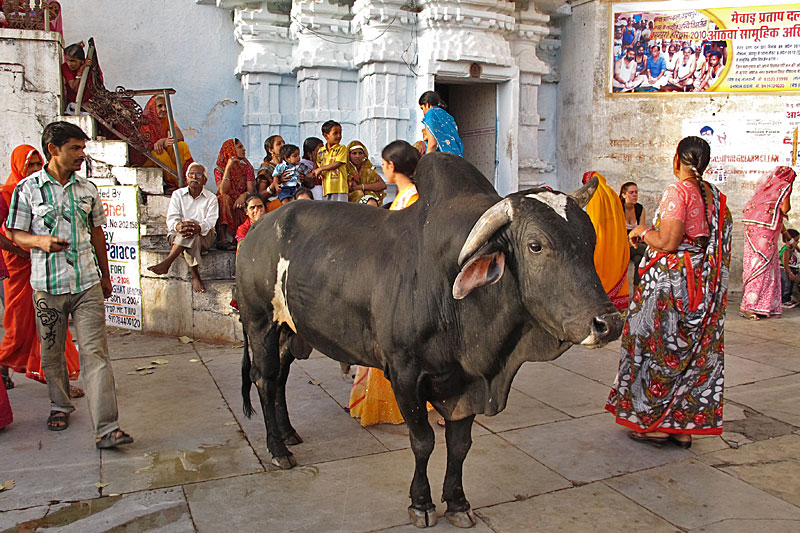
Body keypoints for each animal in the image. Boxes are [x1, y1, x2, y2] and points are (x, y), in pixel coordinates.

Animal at [234, 152, 620, 524]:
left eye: (591, 240)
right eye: (535, 245)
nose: (609, 323)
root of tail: (258, 230)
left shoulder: (465, 382)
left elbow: (460, 445)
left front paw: (458, 502)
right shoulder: (406, 374)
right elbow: (423, 442)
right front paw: (421, 503)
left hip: (288, 330)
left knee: (280, 377)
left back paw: (288, 433)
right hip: (260, 323)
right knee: (264, 380)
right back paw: (278, 450)